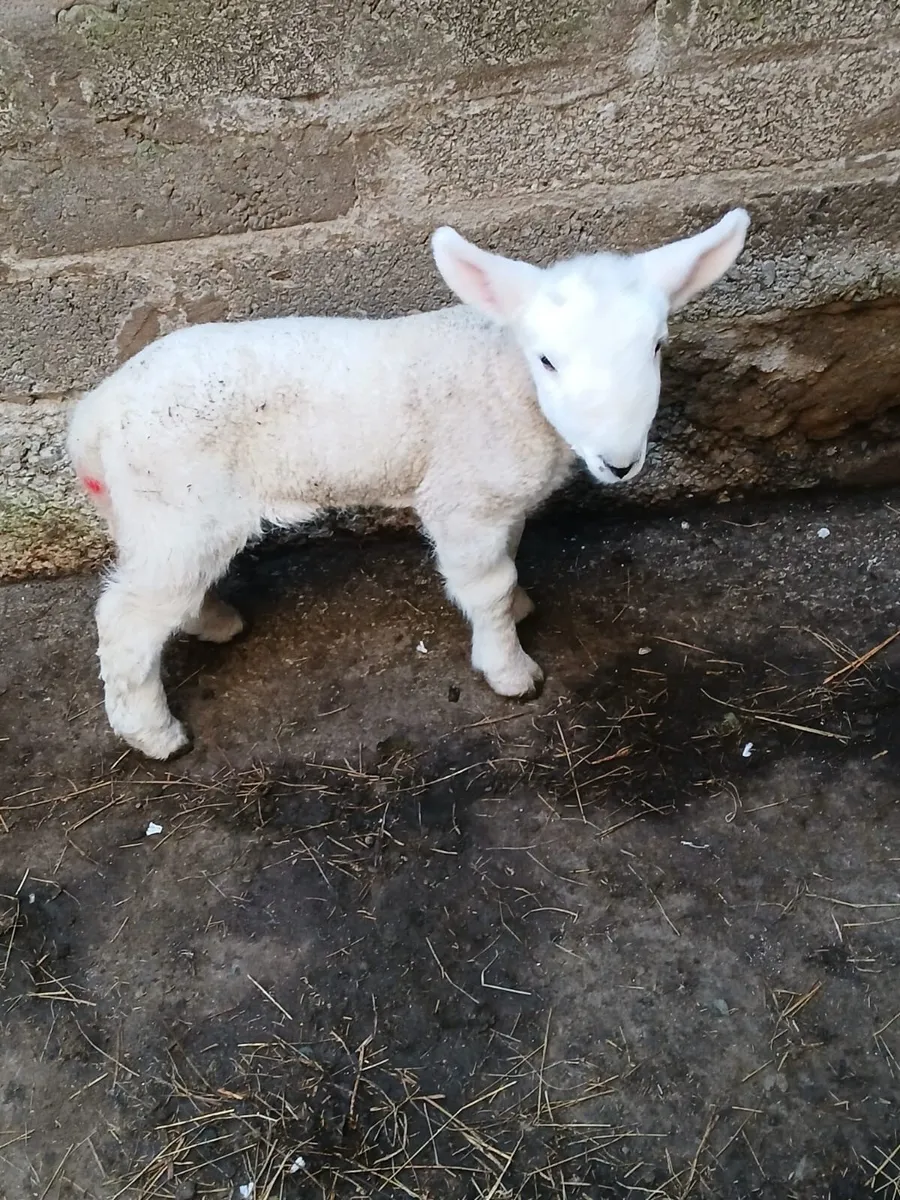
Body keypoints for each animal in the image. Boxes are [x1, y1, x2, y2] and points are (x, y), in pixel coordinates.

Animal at [68, 208, 750, 760]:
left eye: (657, 347)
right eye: (548, 359)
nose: (620, 463)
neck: (507, 378)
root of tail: (94, 417)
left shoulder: (499, 499)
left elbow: (508, 562)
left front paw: (521, 608)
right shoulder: (463, 500)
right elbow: (487, 587)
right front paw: (509, 668)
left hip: (160, 516)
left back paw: (212, 622)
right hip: (176, 504)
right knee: (125, 620)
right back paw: (153, 735)